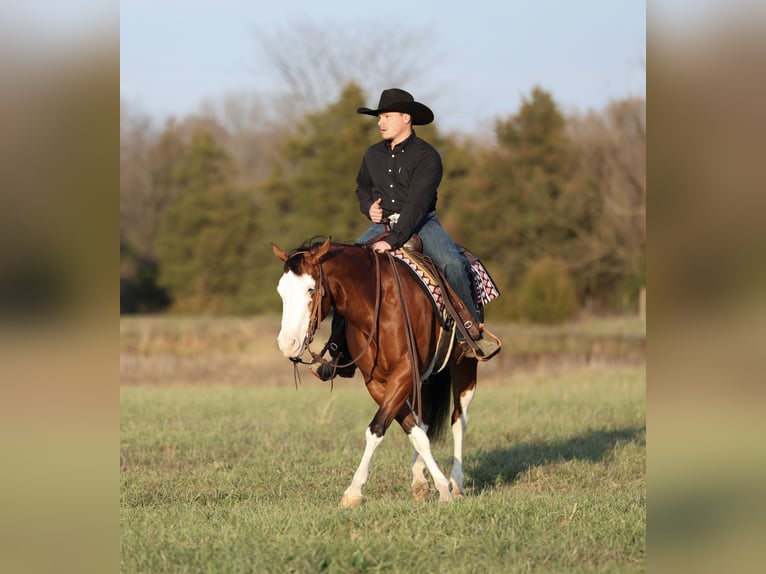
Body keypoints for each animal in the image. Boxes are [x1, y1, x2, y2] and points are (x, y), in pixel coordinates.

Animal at [272, 237, 479, 507]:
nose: (288, 344)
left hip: (465, 367)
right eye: (281, 291)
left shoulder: (403, 373)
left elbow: (376, 429)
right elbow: (414, 430)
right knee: (424, 422)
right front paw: (429, 484)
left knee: (458, 422)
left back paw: (457, 482)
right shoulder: (378, 382)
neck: (377, 309)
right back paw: (421, 476)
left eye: (310, 289)